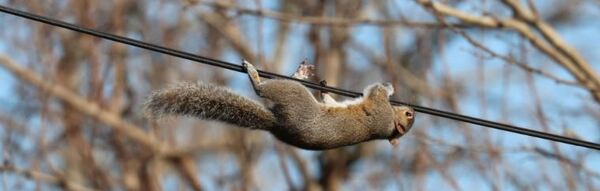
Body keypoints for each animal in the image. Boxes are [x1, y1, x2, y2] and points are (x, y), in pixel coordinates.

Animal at [144, 60, 414, 150]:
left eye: (408, 115)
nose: (411, 109)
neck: (390, 124)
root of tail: (277, 124)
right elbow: (331, 100)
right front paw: (325, 89)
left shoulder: (379, 111)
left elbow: (377, 92)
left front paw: (388, 87)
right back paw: (301, 73)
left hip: (294, 96)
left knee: (264, 90)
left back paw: (256, 77)